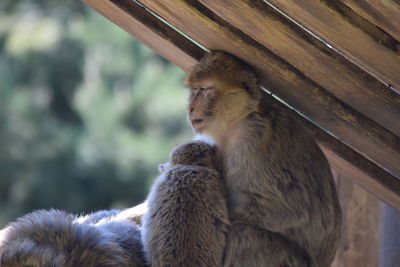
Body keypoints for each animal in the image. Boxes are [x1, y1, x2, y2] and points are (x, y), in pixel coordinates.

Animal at [184, 51, 340, 266]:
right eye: (193, 90)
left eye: (204, 89)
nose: (190, 107)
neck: (236, 123)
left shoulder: (252, 144)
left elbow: (291, 210)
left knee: (244, 233)